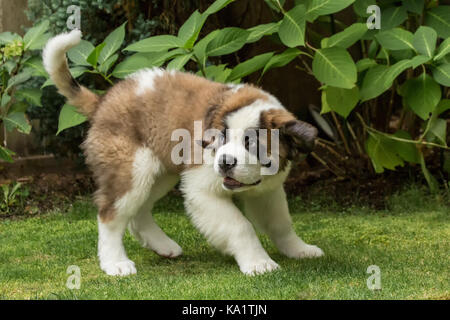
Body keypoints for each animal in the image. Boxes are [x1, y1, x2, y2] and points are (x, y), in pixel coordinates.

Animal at [43, 28, 324, 276]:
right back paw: (115, 263)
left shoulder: (267, 191)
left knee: (138, 212)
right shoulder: (202, 190)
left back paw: (163, 246)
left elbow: (280, 222)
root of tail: (103, 101)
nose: (224, 163)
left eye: (251, 143)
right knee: (110, 214)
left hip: (160, 171)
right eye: (222, 137)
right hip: (131, 169)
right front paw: (258, 263)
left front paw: (299, 249)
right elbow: (240, 226)